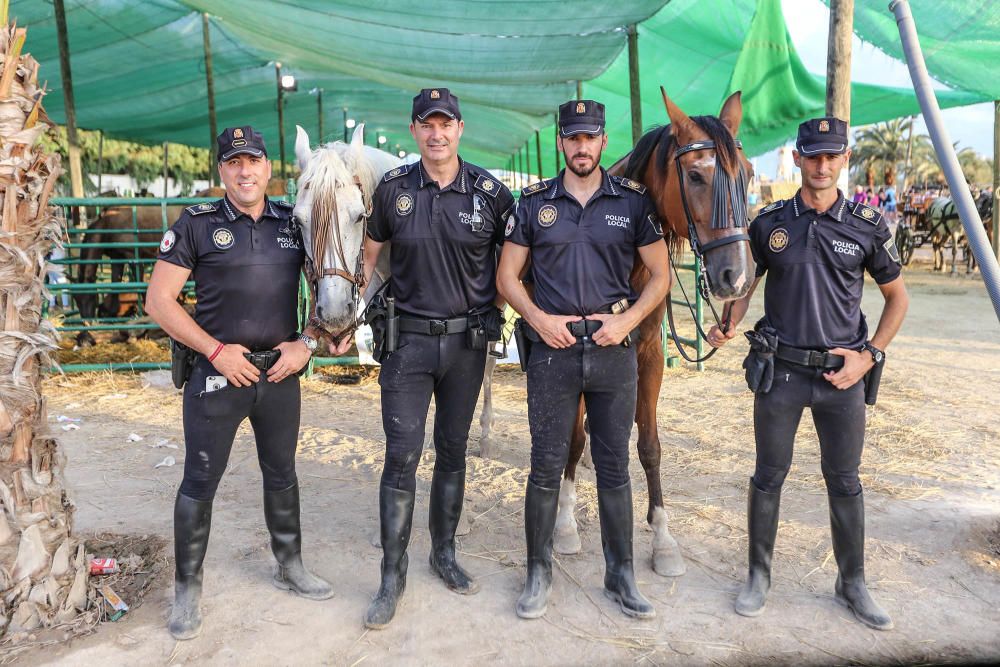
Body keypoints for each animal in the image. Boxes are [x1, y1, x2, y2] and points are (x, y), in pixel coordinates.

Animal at [552, 90, 752, 580]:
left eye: (748, 177)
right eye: (696, 175)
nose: (736, 277)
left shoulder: (646, 355)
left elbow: (649, 445)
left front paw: (663, 539)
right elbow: (573, 438)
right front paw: (565, 523)